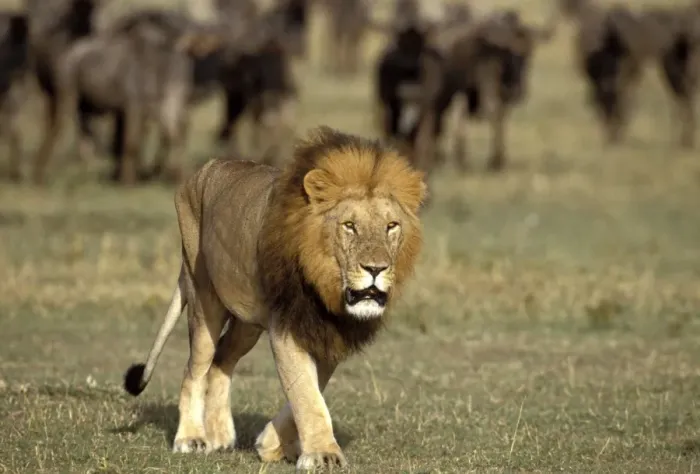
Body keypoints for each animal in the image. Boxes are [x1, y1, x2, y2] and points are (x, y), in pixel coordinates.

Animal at [122, 126, 427, 471]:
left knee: (221, 360)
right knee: (195, 367)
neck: (326, 287)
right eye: (349, 226)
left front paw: (272, 444)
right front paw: (323, 454)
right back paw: (190, 438)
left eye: (391, 226)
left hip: (247, 322)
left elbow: (310, 391)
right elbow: (306, 393)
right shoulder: (288, 327)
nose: (376, 269)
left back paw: (220, 435)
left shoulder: (328, 333)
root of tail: (201, 171)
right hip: (203, 297)